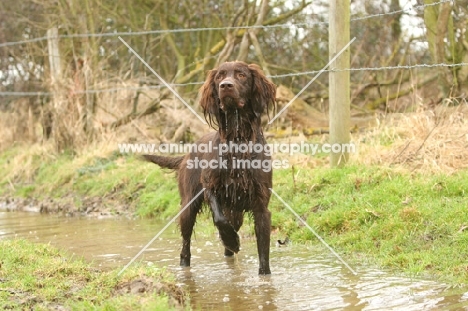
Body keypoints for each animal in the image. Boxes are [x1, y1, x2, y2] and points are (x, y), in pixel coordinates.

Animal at [144, 61, 276, 276]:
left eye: (241, 75)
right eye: (219, 76)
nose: (225, 86)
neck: (237, 141)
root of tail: (187, 153)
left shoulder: (261, 204)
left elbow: (263, 254)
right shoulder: (210, 187)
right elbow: (219, 218)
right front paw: (231, 240)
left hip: (236, 213)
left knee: (228, 246)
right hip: (188, 207)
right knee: (185, 247)